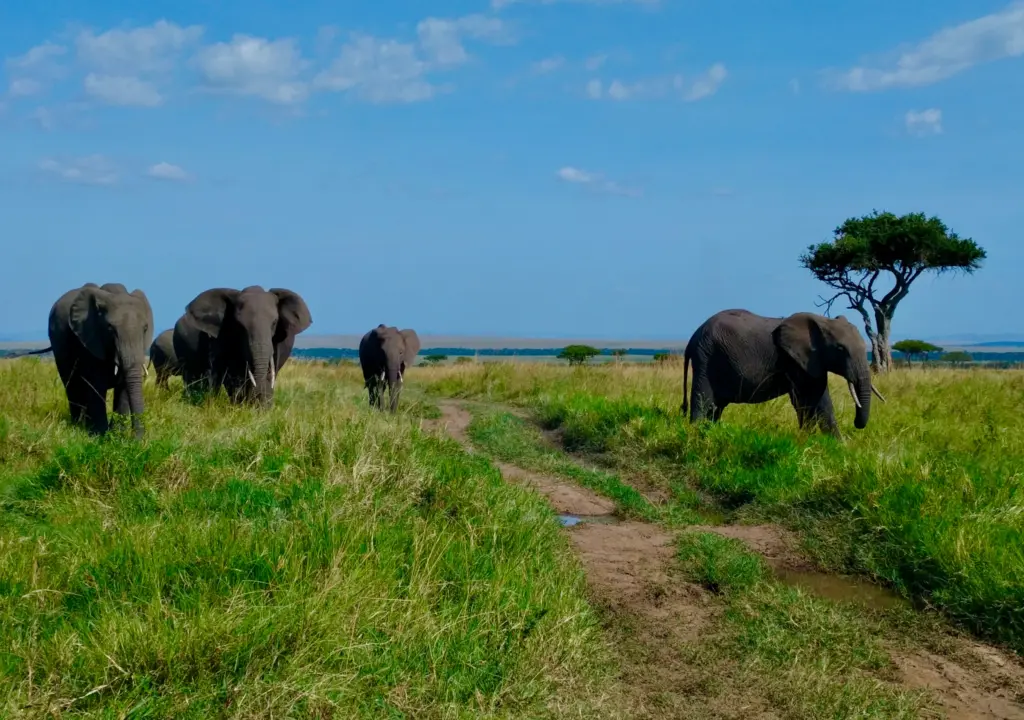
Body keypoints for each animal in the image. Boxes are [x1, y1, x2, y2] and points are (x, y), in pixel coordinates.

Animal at [37, 282, 154, 437]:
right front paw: (102, 436)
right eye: (110, 329)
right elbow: (97, 385)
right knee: (72, 384)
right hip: (59, 343)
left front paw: (118, 435)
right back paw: (79, 426)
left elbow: (123, 387)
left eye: (145, 328)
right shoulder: (89, 340)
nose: (137, 440)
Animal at [172, 286, 312, 406]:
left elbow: (271, 370)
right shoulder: (222, 336)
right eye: (239, 326)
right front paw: (240, 408)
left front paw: (262, 411)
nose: (256, 400)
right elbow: (230, 373)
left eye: (274, 323)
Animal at [681, 309, 886, 436]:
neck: (822, 321)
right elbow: (811, 399)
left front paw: (833, 445)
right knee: (703, 401)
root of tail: (692, 338)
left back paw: (710, 432)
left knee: (715, 408)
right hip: (706, 357)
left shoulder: (812, 361)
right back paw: (696, 435)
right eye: (840, 349)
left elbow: (817, 400)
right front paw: (810, 440)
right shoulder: (794, 360)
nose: (856, 423)